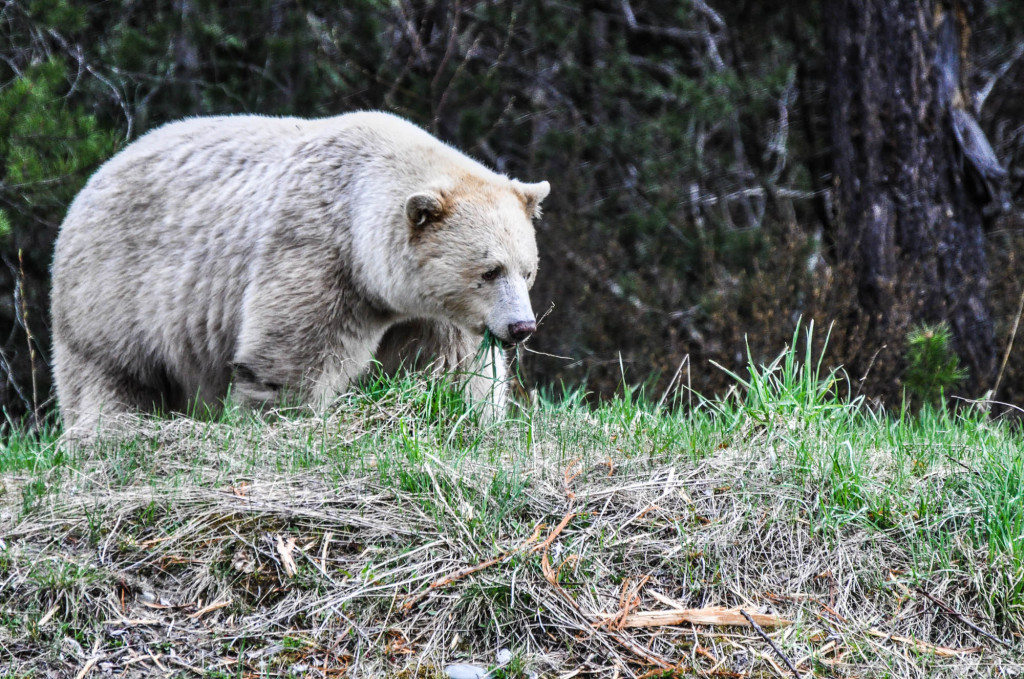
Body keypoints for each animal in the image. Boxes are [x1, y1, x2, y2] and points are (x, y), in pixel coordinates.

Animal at [51, 109, 548, 432]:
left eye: (527, 271)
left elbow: (454, 370)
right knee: (109, 374)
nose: (521, 327)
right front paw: (285, 419)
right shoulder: (319, 250)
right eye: (490, 270)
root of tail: (92, 180)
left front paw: (472, 419)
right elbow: (293, 353)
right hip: (111, 288)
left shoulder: (430, 312)